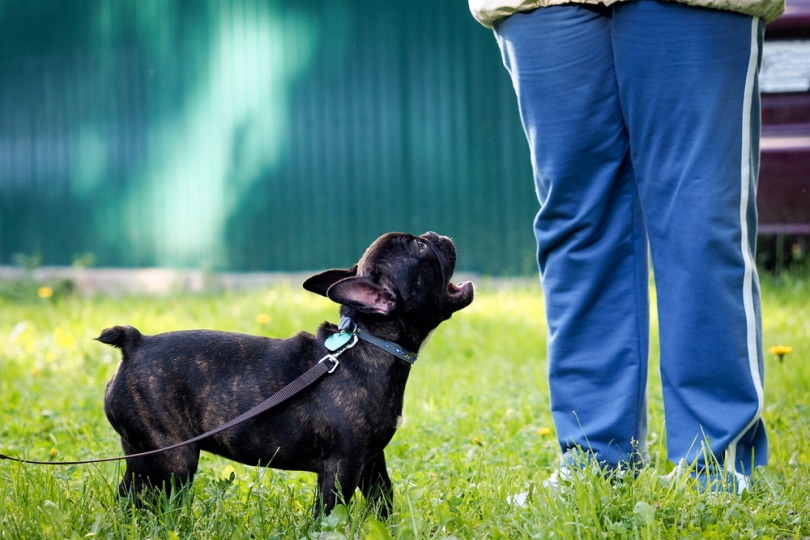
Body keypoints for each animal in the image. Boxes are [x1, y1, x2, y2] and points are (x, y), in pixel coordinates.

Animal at [98, 230, 474, 516]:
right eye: (420, 248)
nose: (434, 234)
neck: (371, 340)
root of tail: (136, 344)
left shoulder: (371, 461)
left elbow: (383, 500)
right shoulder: (342, 467)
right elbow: (330, 514)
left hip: (141, 453)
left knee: (130, 493)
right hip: (175, 459)